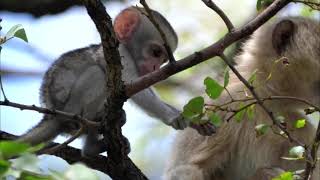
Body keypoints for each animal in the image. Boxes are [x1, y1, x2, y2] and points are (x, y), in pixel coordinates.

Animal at [16, 6, 214, 156]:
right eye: (156, 52)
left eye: (164, 60)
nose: (155, 68)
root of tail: (51, 114)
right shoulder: (123, 56)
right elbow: (136, 92)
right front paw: (173, 117)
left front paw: (197, 121)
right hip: (69, 110)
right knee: (97, 73)